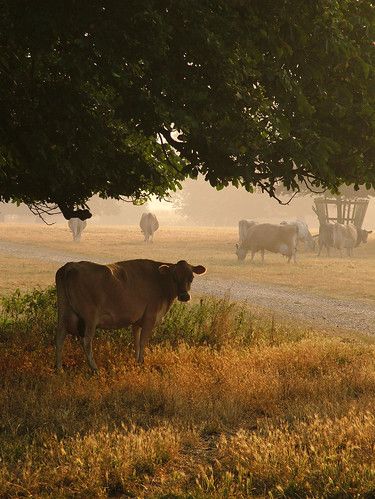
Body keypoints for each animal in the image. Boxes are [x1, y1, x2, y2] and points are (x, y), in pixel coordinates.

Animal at [54, 258, 207, 372]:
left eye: (191, 277)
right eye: (174, 277)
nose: (185, 296)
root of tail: (70, 265)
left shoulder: (137, 321)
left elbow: (136, 342)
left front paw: (136, 361)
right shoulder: (150, 318)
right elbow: (143, 342)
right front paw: (141, 363)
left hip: (63, 311)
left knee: (60, 337)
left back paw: (59, 369)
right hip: (90, 317)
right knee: (86, 341)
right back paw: (95, 368)